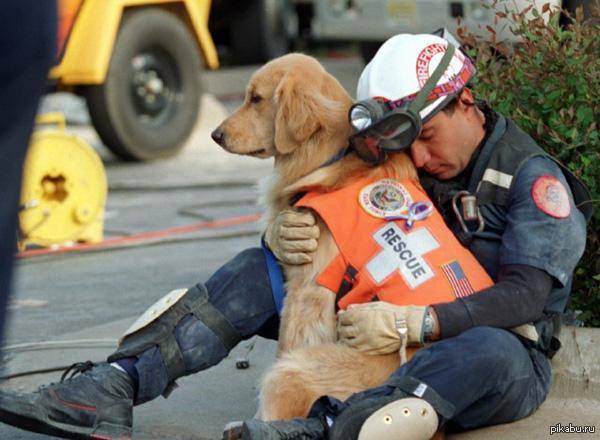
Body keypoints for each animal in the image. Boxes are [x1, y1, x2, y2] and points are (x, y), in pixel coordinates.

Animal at [211, 55, 422, 422]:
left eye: (256, 98)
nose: (215, 135)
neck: (328, 156)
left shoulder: (307, 290)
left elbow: (287, 341)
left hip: (291, 374)